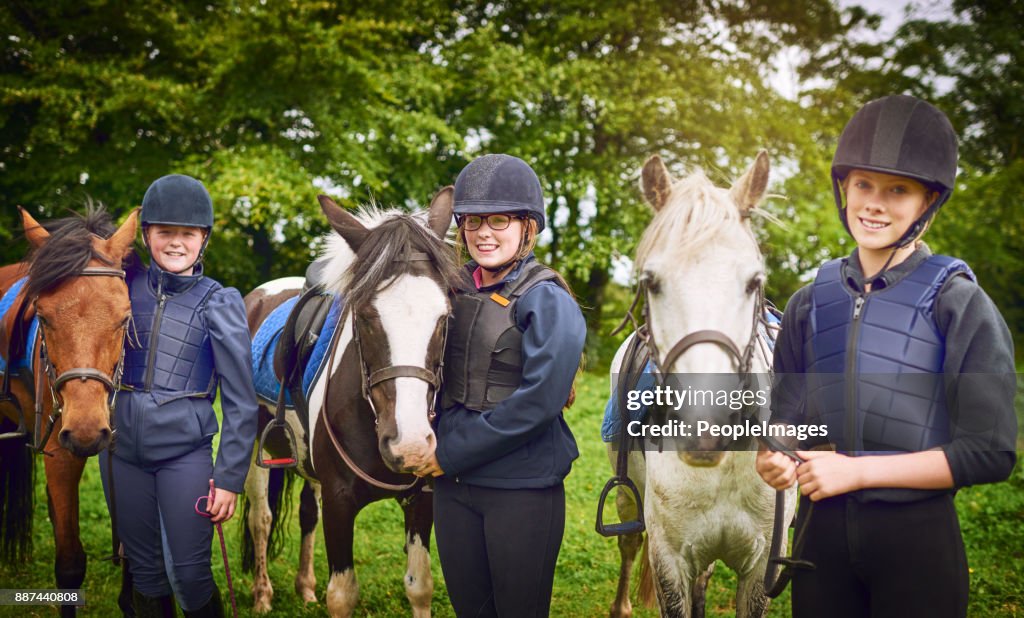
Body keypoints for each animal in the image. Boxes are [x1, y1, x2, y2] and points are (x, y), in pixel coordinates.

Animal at [240, 190, 456, 613]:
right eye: (367, 317)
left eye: (443, 317)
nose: (409, 445)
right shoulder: (341, 503)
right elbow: (341, 595)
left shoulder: (421, 499)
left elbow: (419, 586)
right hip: (256, 444)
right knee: (261, 517)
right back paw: (262, 595)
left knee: (307, 511)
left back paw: (305, 586)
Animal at [602, 150, 794, 618]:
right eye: (651, 282)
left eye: (754, 281)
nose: (705, 432)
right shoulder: (670, 562)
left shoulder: (760, 569)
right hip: (628, 500)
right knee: (629, 544)